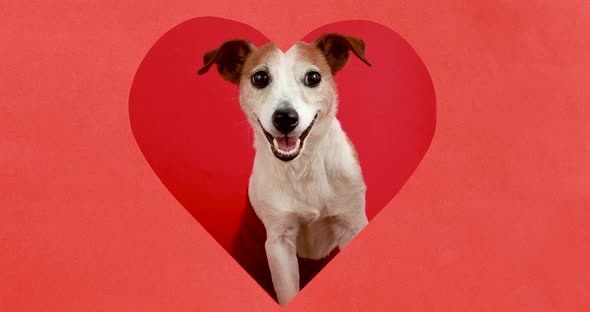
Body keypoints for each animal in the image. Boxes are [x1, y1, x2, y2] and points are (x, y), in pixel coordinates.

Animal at [201, 33, 372, 306]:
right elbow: (288, 291)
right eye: (260, 78)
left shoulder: (351, 223)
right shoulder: (279, 242)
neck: (303, 165)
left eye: (313, 77)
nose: (285, 118)